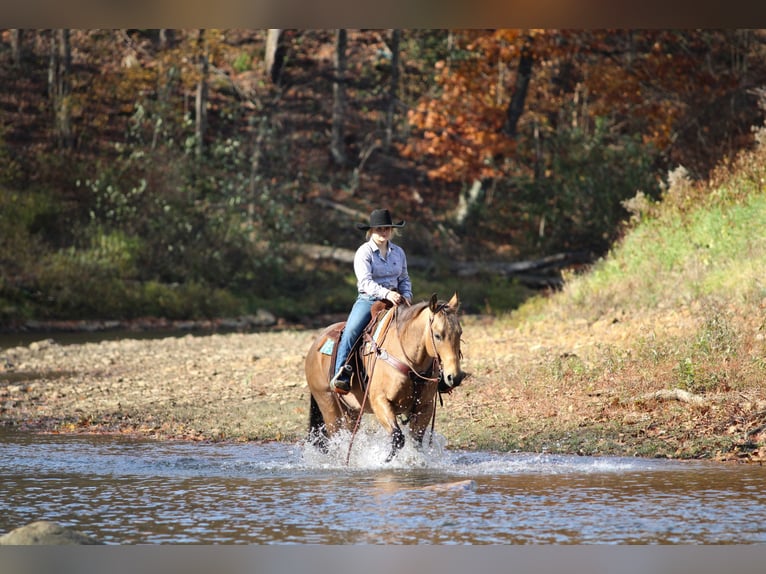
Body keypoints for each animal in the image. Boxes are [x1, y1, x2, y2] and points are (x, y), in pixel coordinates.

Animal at [304, 292, 466, 462]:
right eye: (437, 335)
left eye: (460, 333)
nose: (455, 377)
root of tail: (316, 344)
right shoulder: (380, 401)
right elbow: (398, 437)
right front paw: (386, 460)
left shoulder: (425, 407)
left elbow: (416, 441)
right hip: (328, 405)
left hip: (350, 411)